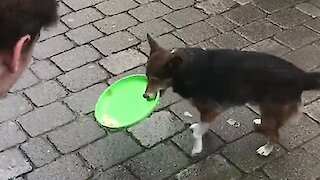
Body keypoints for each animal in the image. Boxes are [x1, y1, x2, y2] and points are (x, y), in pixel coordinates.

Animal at [144, 33, 320, 156]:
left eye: (155, 79)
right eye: (146, 77)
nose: (145, 96)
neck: (184, 70)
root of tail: (301, 76)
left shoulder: (211, 110)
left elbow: (198, 132)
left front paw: (197, 147)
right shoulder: (210, 112)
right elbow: (202, 127)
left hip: (272, 109)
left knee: (275, 135)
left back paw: (266, 149)